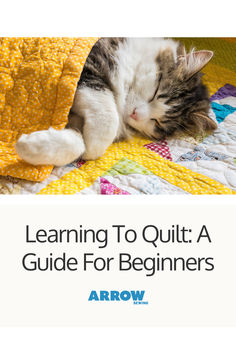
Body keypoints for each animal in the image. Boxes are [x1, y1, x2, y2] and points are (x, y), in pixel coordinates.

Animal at [15, 37, 218, 167]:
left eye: (158, 123)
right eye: (156, 93)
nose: (135, 114)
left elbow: (78, 144)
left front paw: (28, 145)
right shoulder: (90, 66)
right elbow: (108, 117)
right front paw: (93, 147)